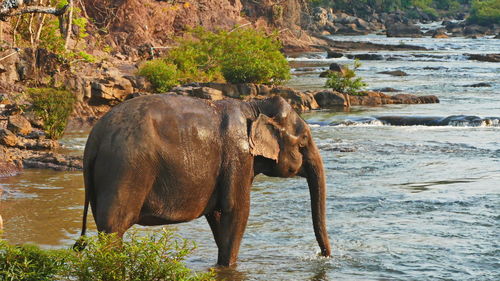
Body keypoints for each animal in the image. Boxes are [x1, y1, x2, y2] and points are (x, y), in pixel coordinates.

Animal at [76, 93, 330, 264]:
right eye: (303, 141)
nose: (323, 256)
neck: (255, 105)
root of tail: (94, 139)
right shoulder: (238, 157)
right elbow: (237, 212)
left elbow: (218, 218)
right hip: (125, 170)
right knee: (113, 229)